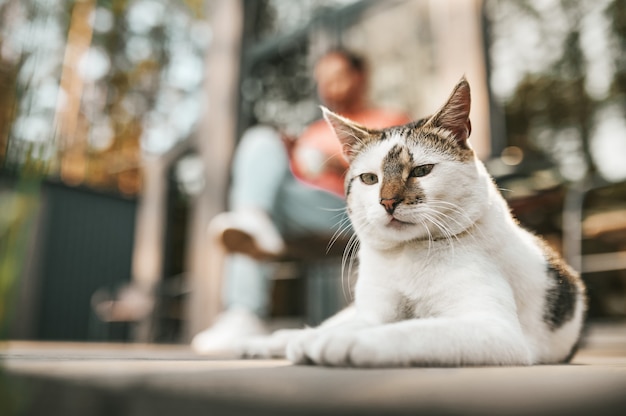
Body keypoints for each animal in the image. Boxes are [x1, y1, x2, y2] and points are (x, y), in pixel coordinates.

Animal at [240, 76, 584, 366]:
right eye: (369, 178)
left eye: (421, 171)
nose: (388, 202)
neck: (408, 256)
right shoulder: (375, 310)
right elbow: (361, 323)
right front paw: (310, 340)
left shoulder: (496, 329)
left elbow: (413, 329)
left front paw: (347, 343)